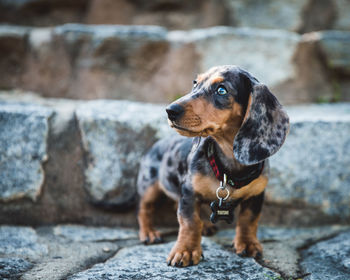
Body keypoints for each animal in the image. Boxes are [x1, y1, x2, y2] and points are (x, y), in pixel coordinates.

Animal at [137, 65, 290, 266]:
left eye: (221, 90)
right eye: (195, 83)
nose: (170, 110)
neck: (228, 165)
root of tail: (156, 144)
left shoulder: (256, 195)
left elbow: (249, 220)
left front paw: (247, 244)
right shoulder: (189, 193)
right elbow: (190, 222)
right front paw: (185, 251)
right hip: (149, 186)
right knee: (144, 210)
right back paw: (148, 233)